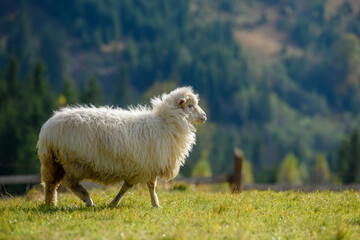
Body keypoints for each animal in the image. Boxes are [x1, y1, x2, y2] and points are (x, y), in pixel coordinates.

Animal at [37, 86, 207, 208]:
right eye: (190, 105)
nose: (204, 116)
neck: (165, 123)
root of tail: (48, 129)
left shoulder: (143, 167)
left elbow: (131, 186)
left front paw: (116, 202)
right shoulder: (148, 165)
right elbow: (148, 186)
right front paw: (156, 204)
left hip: (52, 162)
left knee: (50, 184)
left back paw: (50, 204)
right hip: (75, 162)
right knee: (69, 182)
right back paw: (88, 200)